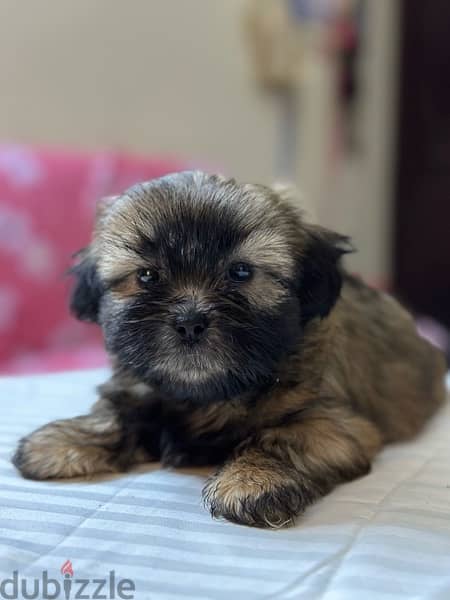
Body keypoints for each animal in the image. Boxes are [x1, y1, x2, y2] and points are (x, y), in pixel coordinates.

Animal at [13, 171, 446, 528]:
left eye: (240, 272)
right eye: (147, 276)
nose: (189, 321)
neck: (206, 393)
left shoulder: (333, 422)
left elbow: (278, 439)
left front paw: (251, 481)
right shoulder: (135, 386)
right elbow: (115, 412)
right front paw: (64, 442)